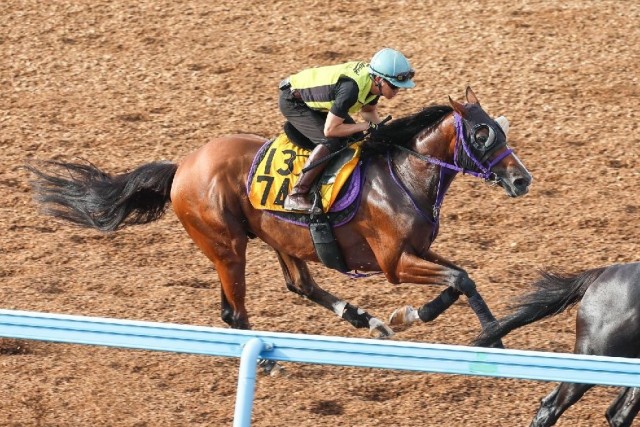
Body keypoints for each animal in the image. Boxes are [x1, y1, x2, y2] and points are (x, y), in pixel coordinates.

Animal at [26, 86, 528, 354]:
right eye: (482, 134)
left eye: (499, 128)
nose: (522, 179)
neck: (403, 173)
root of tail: (182, 166)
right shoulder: (394, 263)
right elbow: (459, 279)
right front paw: (479, 335)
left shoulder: (419, 251)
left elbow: (463, 278)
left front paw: (414, 317)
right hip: (227, 246)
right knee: (235, 311)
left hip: (281, 238)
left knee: (299, 284)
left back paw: (364, 319)